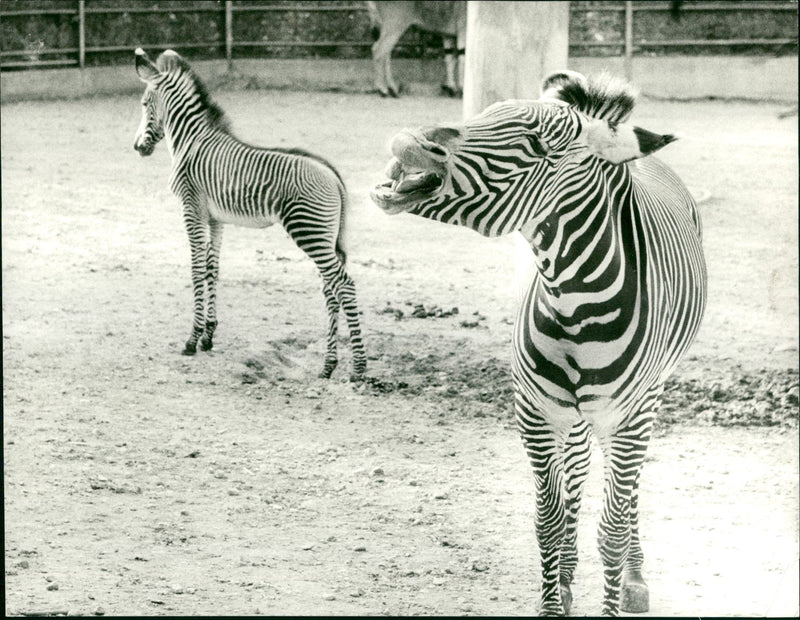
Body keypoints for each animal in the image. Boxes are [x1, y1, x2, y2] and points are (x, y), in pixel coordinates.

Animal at [133, 48, 366, 381]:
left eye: (144, 103)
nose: (138, 147)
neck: (192, 142)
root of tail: (333, 176)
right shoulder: (215, 218)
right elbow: (212, 268)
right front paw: (209, 336)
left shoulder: (191, 208)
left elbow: (195, 270)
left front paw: (191, 339)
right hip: (325, 236)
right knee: (330, 287)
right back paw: (328, 366)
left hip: (308, 230)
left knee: (343, 285)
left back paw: (358, 368)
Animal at [370, 70, 706, 615]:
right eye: (485, 112)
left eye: (537, 147)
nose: (407, 142)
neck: (574, 302)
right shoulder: (535, 411)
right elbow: (547, 520)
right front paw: (555, 594)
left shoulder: (629, 418)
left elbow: (613, 527)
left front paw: (614, 591)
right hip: (571, 413)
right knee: (578, 468)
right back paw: (568, 575)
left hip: (650, 395)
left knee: (627, 487)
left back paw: (634, 578)